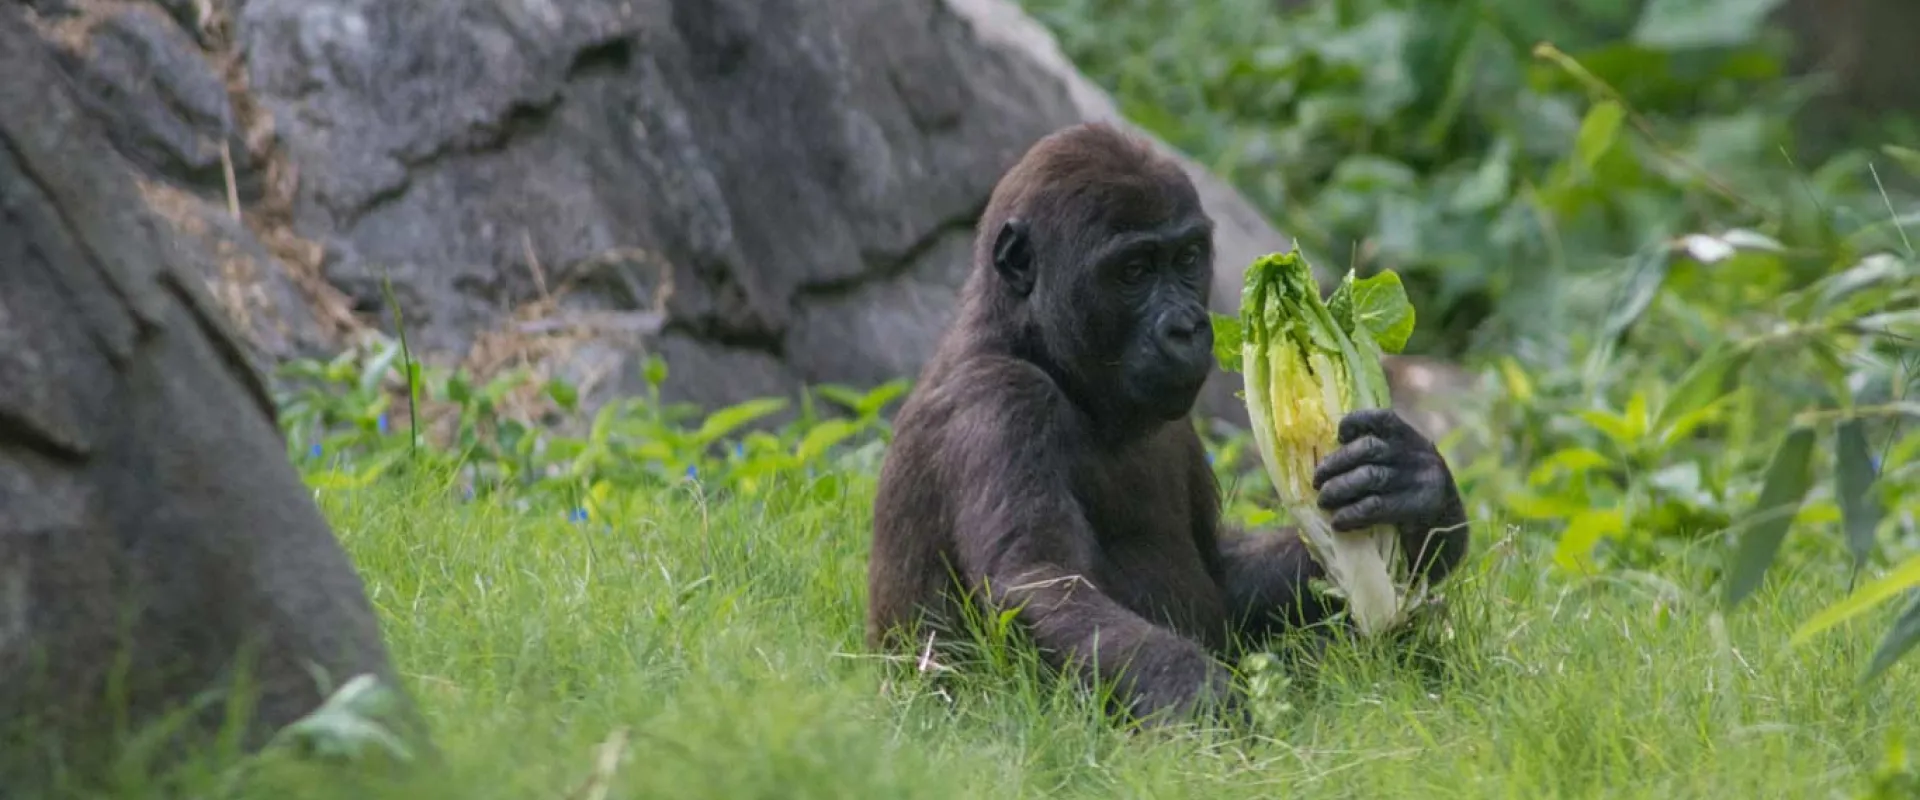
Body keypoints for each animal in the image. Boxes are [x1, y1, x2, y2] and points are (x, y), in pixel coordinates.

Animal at [871, 121, 1466, 721]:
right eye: (1133, 272)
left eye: (1187, 259)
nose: (1187, 327)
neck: (1033, 346)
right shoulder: (1001, 400)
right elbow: (1037, 583)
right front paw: (1197, 695)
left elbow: (1225, 572)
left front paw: (1419, 496)